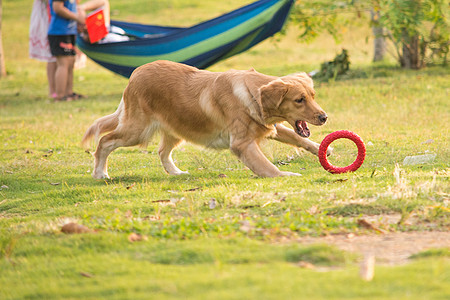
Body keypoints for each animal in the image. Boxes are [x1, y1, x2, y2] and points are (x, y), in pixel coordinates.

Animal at [81, 60, 326, 178]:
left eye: (313, 96)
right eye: (299, 100)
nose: (324, 117)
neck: (251, 93)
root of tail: (135, 74)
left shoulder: (269, 126)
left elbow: (298, 138)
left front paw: (322, 149)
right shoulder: (241, 143)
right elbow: (267, 166)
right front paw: (285, 174)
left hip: (176, 128)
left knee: (162, 152)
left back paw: (176, 173)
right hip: (136, 131)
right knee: (105, 141)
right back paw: (100, 173)